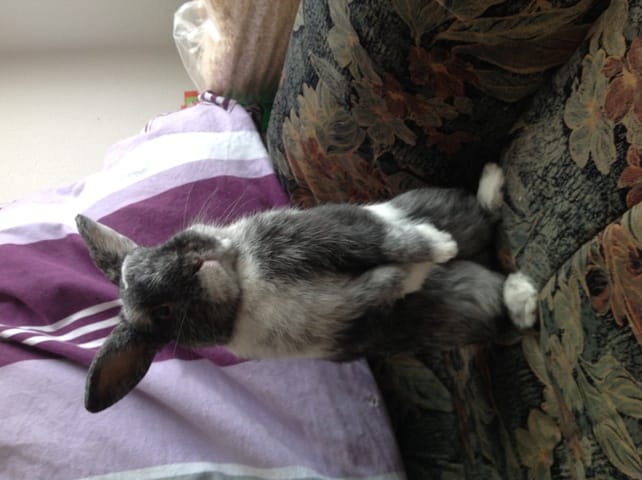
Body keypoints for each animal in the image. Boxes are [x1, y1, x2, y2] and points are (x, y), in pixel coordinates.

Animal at [76, 163, 537, 412]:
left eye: (159, 250)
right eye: (165, 311)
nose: (191, 265)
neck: (245, 284)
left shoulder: (336, 233)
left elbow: (392, 241)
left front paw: (438, 247)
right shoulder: (352, 309)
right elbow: (384, 282)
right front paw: (419, 270)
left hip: (445, 207)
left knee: (482, 215)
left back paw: (490, 184)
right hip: (476, 310)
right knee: (505, 314)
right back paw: (524, 297)